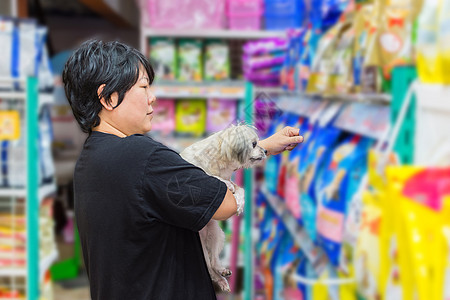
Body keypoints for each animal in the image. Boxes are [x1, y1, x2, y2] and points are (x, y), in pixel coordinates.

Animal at [180, 123, 268, 292]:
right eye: (254, 144)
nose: (266, 150)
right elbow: (209, 175)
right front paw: (224, 183)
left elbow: (241, 190)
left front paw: (240, 203)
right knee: (209, 267)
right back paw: (220, 279)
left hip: (217, 235)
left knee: (214, 261)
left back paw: (222, 274)